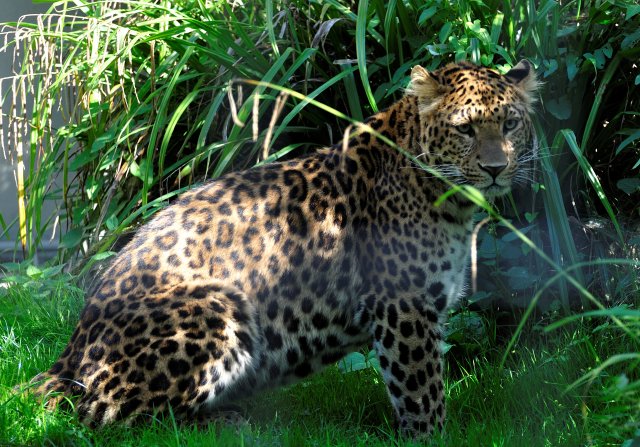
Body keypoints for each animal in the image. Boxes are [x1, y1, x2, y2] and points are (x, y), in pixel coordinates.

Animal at [27, 59, 538, 437]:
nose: (496, 169)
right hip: (216, 305)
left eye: (511, 124)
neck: (447, 198)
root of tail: (71, 348)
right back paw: (228, 424)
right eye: (465, 129)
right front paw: (431, 437)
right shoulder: (404, 306)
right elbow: (422, 392)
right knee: (111, 416)